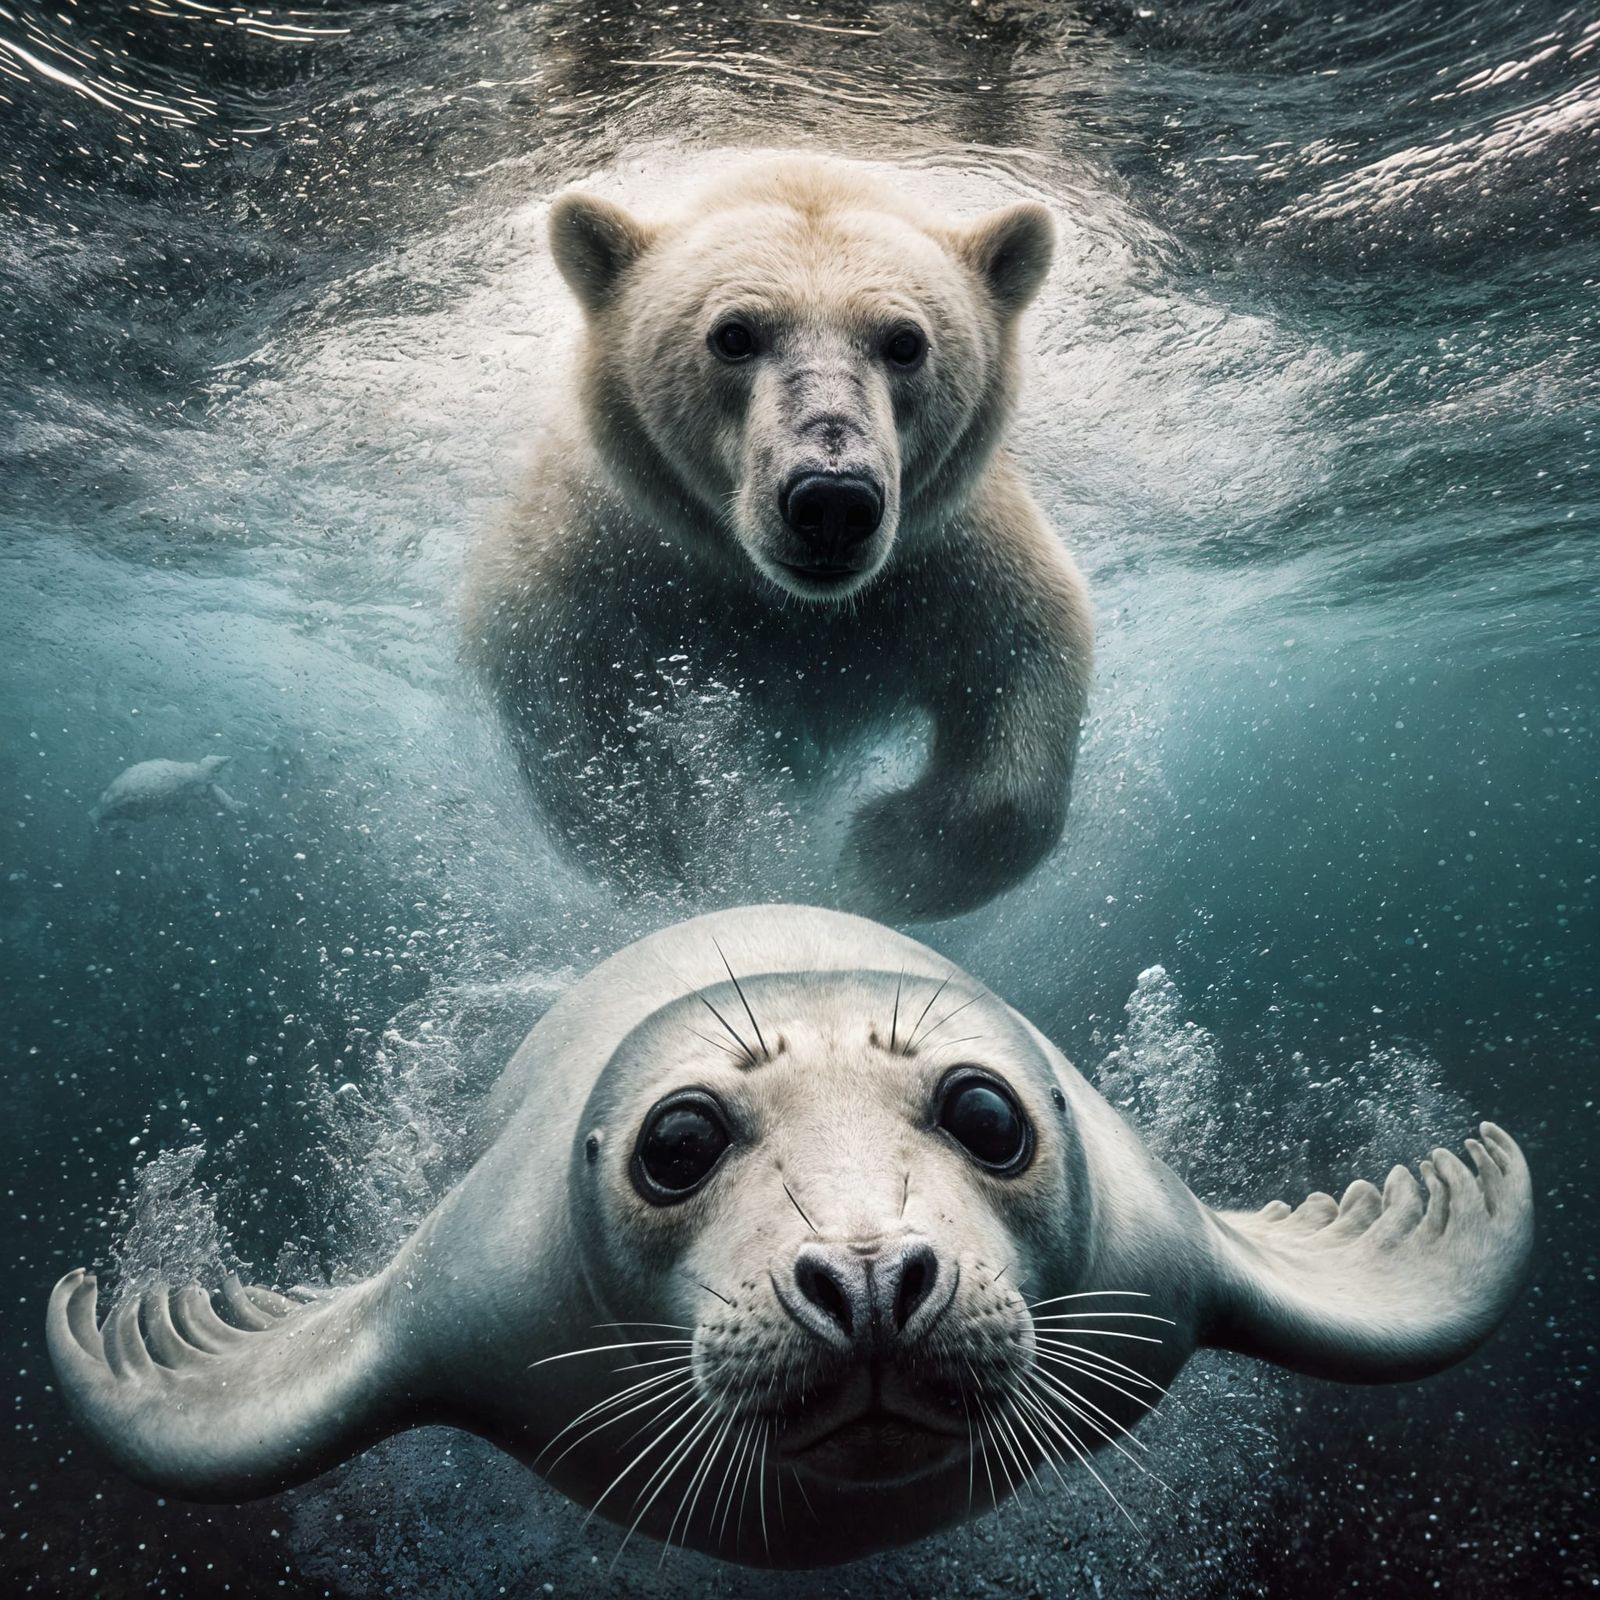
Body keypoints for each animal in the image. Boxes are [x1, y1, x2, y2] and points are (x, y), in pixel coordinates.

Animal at [464, 157, 1091, 920]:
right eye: (733, 334)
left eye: (905, 342)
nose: (833, 500)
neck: (777, 597)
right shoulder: (607, 553)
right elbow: (560, 687)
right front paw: (684, 841)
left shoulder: (940, 559)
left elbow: (1026, 652)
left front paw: (880, 855)